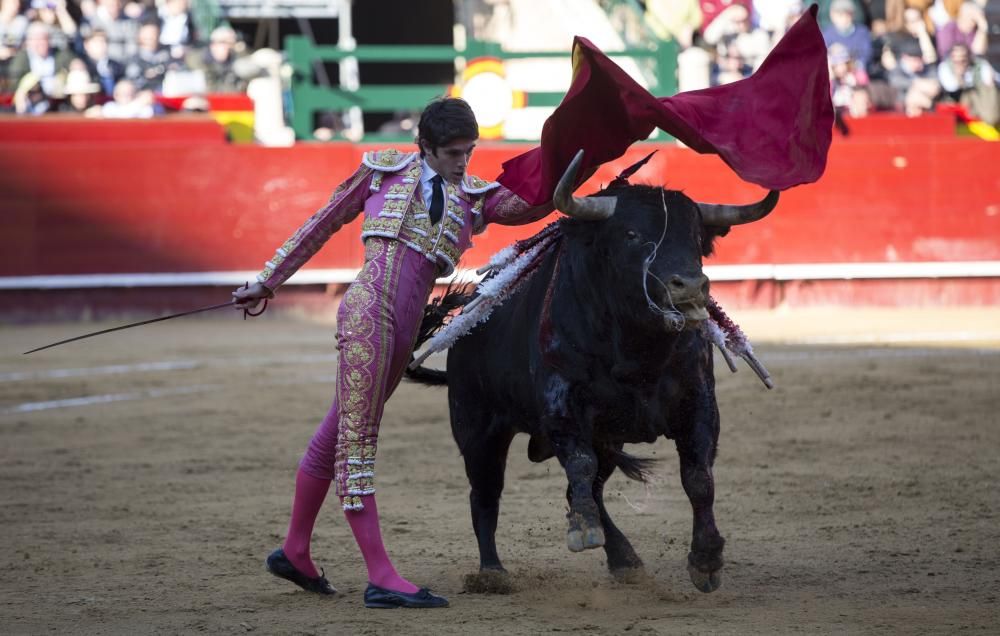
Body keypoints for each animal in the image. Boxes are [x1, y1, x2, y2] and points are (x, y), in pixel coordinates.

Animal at [402, 153, 776, 592]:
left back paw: (625, 560)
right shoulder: (563, 404)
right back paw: (492, 572)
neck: (638, 348)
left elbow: (698, 477)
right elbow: (579, 464)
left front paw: (707, 559)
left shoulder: (697, 402)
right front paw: (582, 529)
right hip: (478, 428)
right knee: (486, 495)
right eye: (631, 234)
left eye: (697, 237)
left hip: (605, 438)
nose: (689, 288)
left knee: (587, 489)